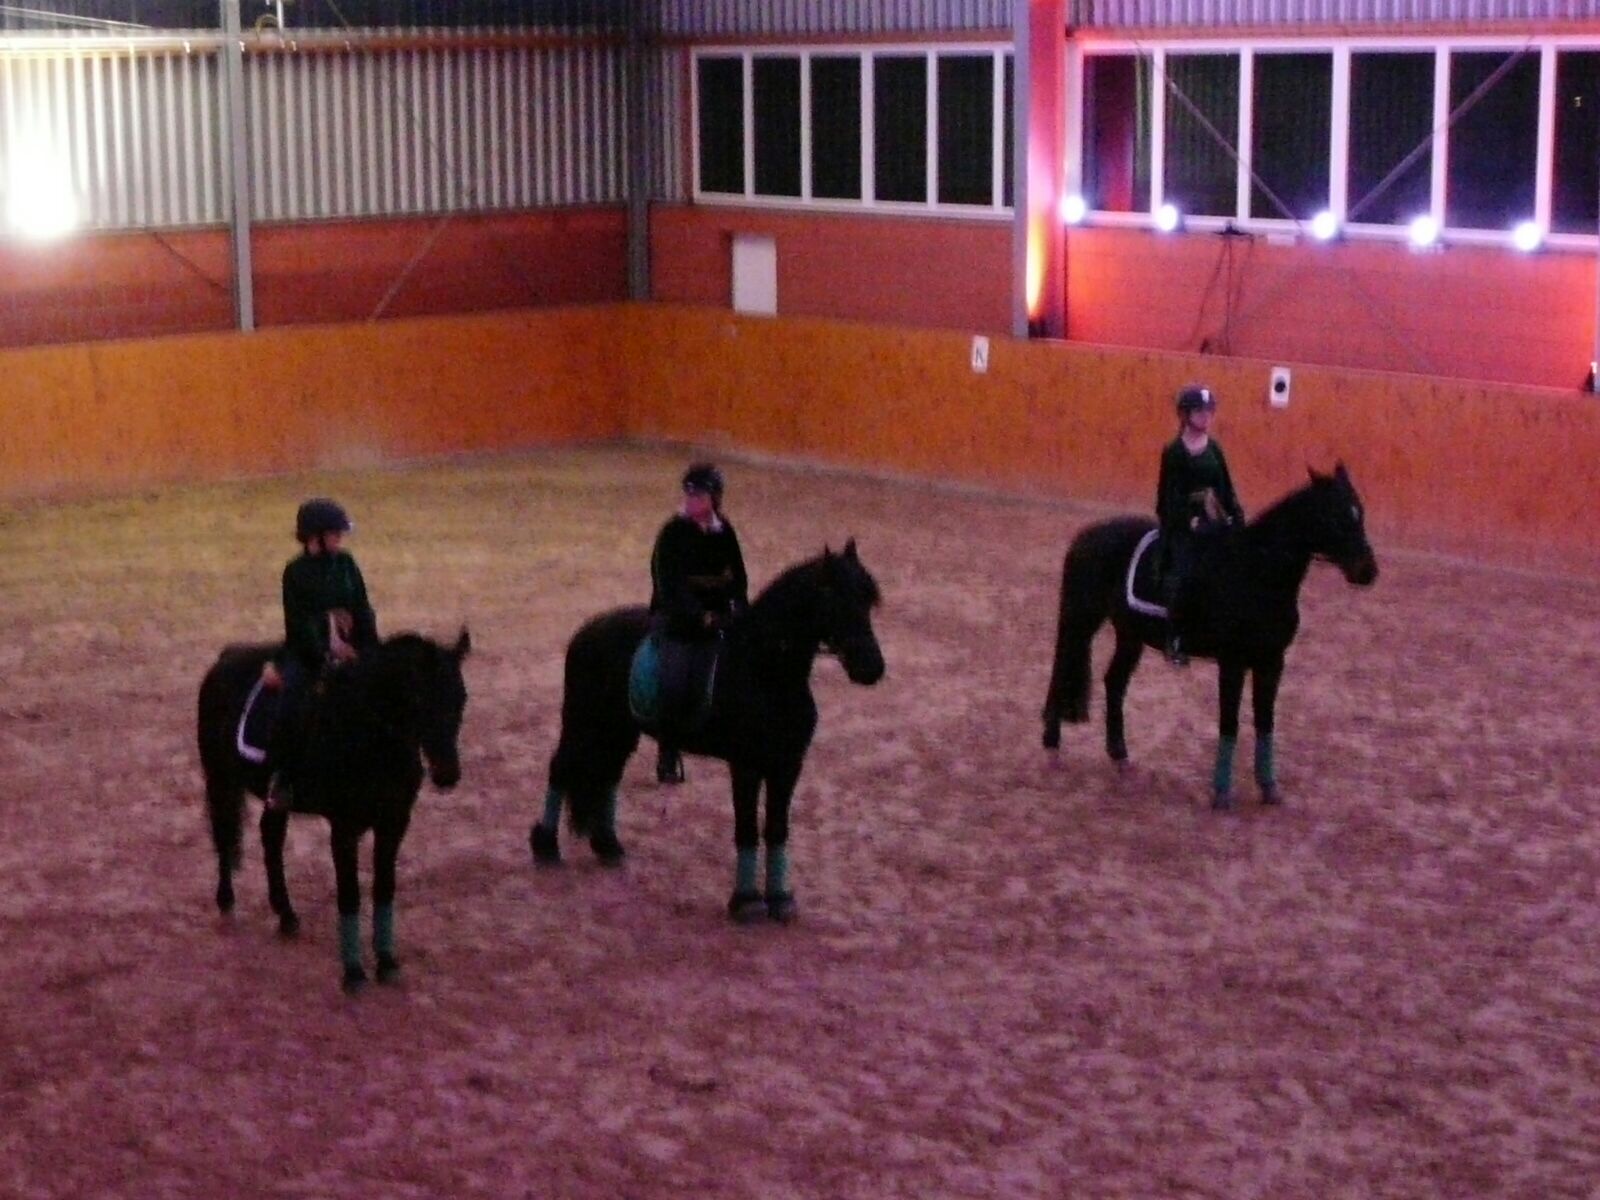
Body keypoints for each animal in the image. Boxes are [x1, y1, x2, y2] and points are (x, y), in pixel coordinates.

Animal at [197, 630, 471, 990]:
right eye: (420, 698)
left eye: (461, 698)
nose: (447, 775)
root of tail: (222, 661)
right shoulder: (344, 827)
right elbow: (350, 893)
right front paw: (354, 974)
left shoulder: (394, 823)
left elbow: (384, 888)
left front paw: (387, 963)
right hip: (220, 779)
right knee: (224, 835)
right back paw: (227, 902)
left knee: (270, 837)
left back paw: (286, 916)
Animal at [530, 542, 885, 923]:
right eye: (835, 597)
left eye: (867, 598)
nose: (872, 667)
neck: (763, 671)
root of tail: (586, 631)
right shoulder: (746, 766)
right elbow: (747, 829)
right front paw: (747, 902)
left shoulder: (787, 766)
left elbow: (777, 829)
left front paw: (781, 899)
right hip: (582, 722)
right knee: (560, 769)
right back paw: (546, 847)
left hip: (619, 728)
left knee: (608, 775)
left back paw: (608, 847)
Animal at [1041, 465, 1378, 809]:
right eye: (1335, 516)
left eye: (1359, 512)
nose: (1368, 572)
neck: (1256, 573)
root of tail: (1086, 536)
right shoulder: (1232, 662)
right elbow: (1229, 722)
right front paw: (1221, 794)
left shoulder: (1271, 661)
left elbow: (1265, 721)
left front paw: (1269, 788)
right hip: (1079, 621)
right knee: (1061, 671)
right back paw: (1053, 749)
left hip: (1129, 634)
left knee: (1114, 683)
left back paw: (1120, 758)